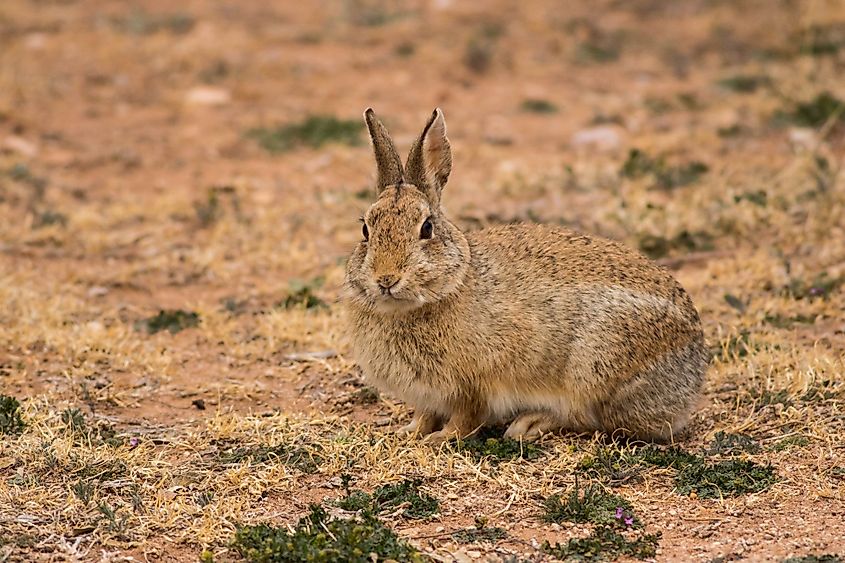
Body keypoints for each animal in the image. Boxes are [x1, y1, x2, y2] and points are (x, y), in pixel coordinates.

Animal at [340, 108, 708, 446]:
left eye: (426, 228)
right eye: (365, 229)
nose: (386, 279)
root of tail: (695, 366)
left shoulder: (473, 386)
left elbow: (465, 418)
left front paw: (440, 439)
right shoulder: (429, 396)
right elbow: (425, 415)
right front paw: (408, 433)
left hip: (595, 371)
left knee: (590, 419)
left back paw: (529, 424)